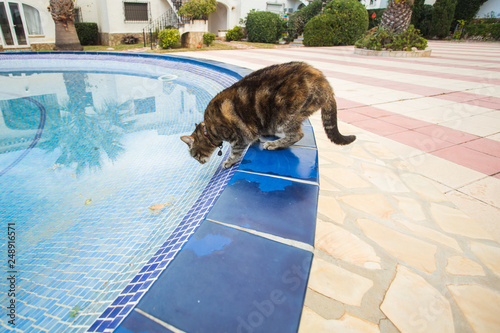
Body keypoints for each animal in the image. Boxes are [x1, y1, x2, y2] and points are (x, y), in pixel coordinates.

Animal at [181, 60, 356, 167]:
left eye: (194, 155)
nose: (199, 162)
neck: (210, 128)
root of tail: (325, 82)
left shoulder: (239, 136)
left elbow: (235, 152)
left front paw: (228, 162)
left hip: (285, 114)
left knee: (297, 135)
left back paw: (274, 144)